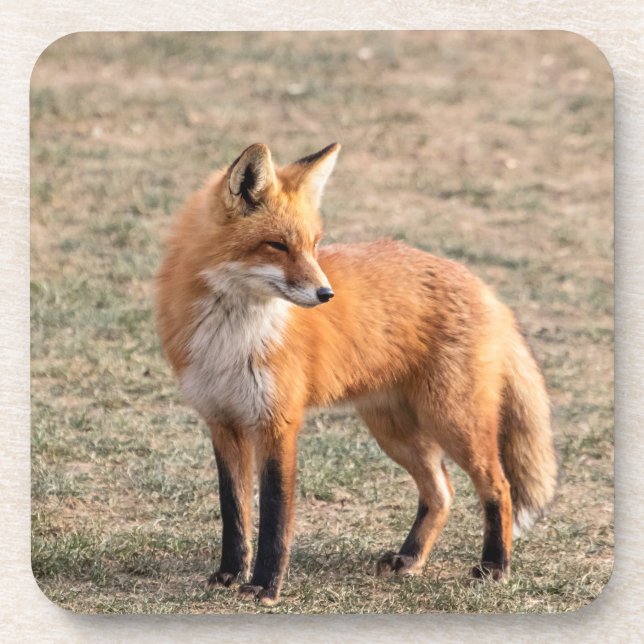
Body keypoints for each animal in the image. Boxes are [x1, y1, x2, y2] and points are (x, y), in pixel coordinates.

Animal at [155, 142, 557, 606]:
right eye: (276, 245)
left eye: (314, 245)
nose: (326, 294)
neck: (233, 335)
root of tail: (485, 288)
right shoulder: (223, 422)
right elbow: (234, 511)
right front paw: (229, 574)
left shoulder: (278, 423)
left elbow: (274, 514)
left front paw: (265, 586)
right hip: (394, 431)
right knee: (441, 492)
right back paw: (409, 558)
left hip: (454, 421)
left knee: (499, 487)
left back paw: (494, 566)